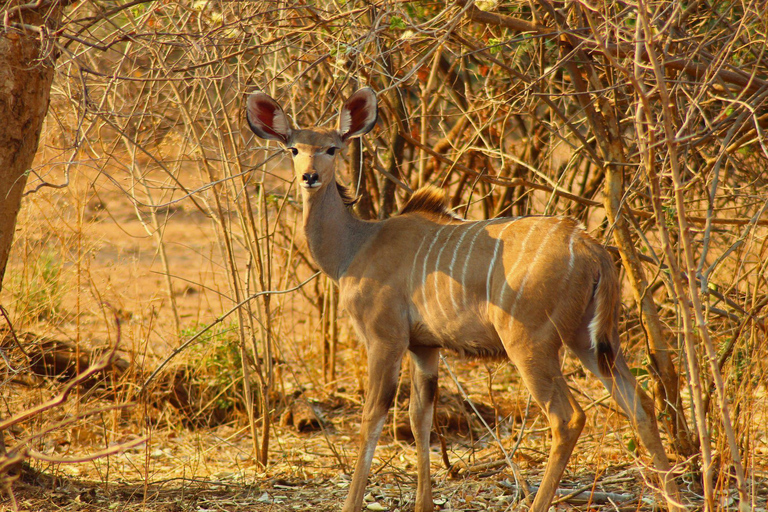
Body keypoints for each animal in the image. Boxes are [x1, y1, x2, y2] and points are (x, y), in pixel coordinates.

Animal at [244, 88, 680, 512]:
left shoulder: (386, 339)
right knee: (640, 403)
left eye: (332, 148)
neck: (355, 247)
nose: (310, 177)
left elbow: (372, 417)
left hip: (531, 343)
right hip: (590, 341)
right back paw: (674, 499)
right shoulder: (424, 347)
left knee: (567, 418)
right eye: (293, 148)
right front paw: (424, 504)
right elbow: (419, 416)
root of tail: (592, 248)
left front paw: (352, 503)